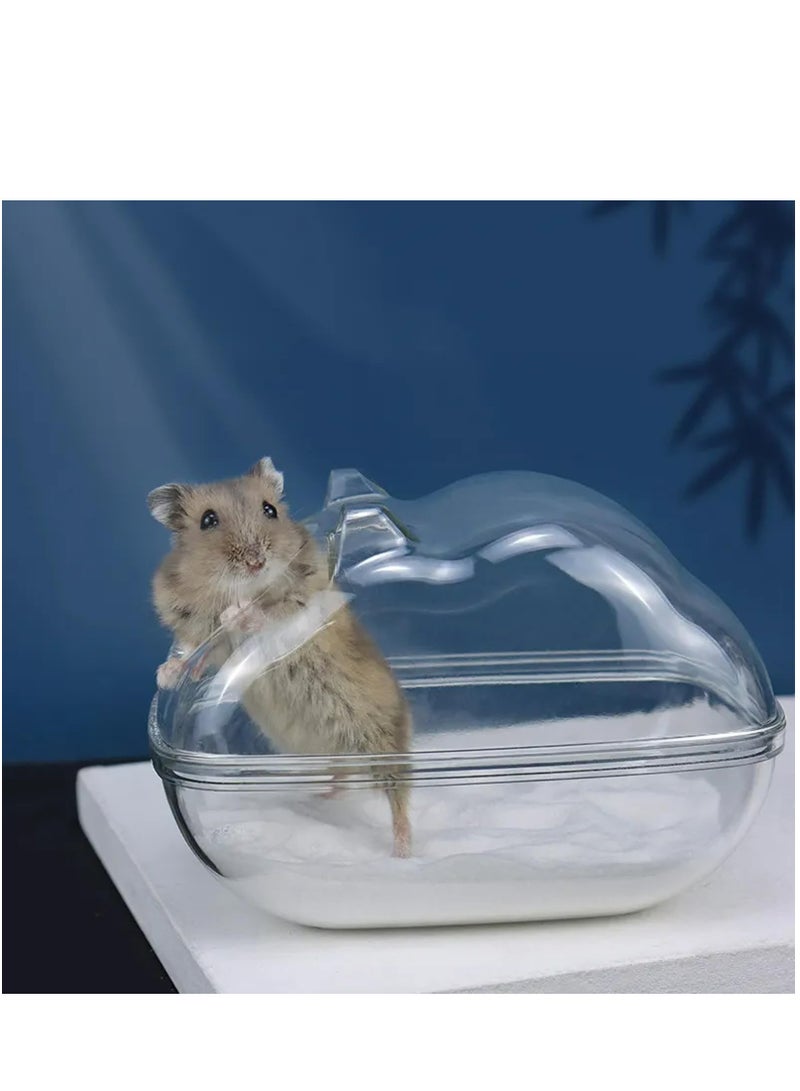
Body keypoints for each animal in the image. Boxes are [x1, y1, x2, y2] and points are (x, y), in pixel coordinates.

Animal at [148, 457, 412, 857]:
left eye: (269, 510)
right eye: (208, 520)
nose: (256, 561)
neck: (242, 587)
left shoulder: (304, 603)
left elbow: (267, 615)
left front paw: (236, 613)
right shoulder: (200, 631)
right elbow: (195, 651)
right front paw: (166, 674)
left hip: (380, 740)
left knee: (398, 798)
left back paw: (402, 852)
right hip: (337, 752)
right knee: (343, 774)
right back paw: (321, 797)